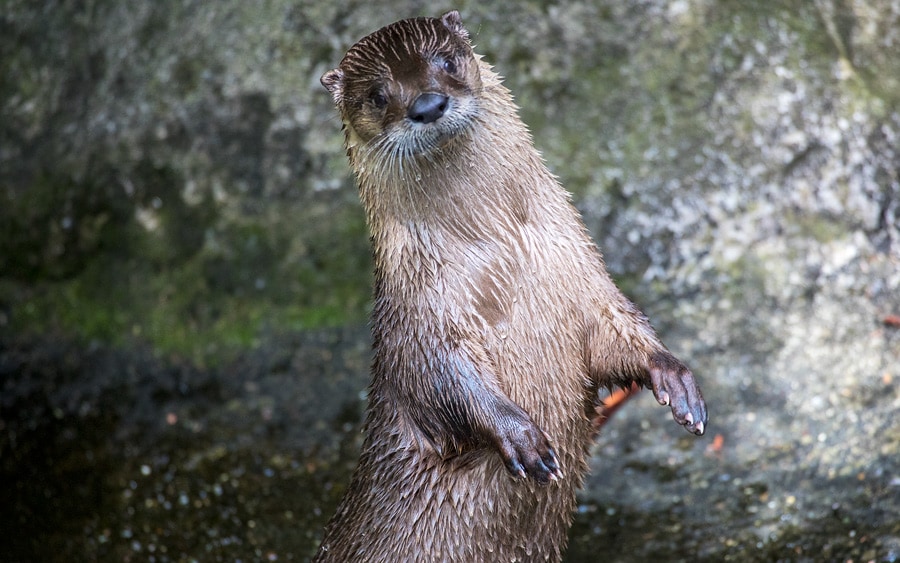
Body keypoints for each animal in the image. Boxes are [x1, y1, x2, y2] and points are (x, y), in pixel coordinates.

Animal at [314, 9, 704, 563]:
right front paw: (520, 436)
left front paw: (673, 377)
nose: (427, 104)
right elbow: (440, 379)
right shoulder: (418, 314)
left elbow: (617, 329)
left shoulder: (581, 275)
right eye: (377, 94)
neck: (501, 258)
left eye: (447, 61)